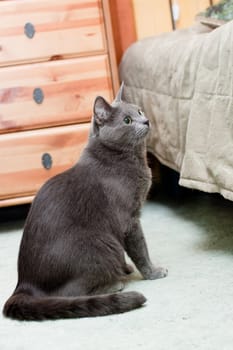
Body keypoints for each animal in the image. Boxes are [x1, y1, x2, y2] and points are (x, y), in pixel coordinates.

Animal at [3, 82, 167, 320]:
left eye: (139, 111)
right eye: (127, 120)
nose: (145, 121)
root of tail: (24, 283)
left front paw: (130, 268)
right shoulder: (129, 219)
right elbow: (140, 248)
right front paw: (153, 272)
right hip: (102, 244)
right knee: (69, 293)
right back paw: (113, 285)